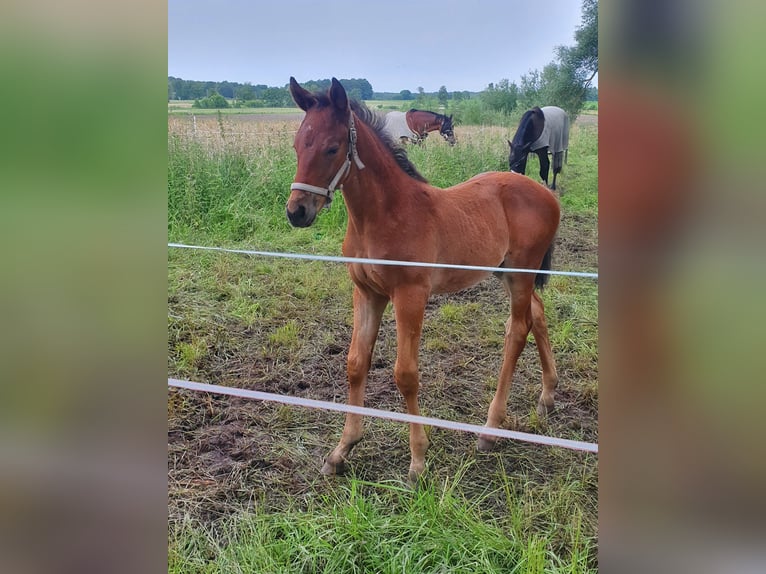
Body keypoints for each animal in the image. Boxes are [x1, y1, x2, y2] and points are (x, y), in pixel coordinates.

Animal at [284, 75, 560, 482]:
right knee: (537, 314)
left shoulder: (410, 294)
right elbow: (355, 364)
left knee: (518, 328)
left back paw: (491, 429)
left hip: (521, 273)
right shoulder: (366, 292)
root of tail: (547, 193)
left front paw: (417, 460)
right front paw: (341, 450)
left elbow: (405, 374)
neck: (384, 215)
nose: (297, 211)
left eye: (333, 148)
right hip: (506, 273)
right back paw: (547, 395)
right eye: (297, 145)